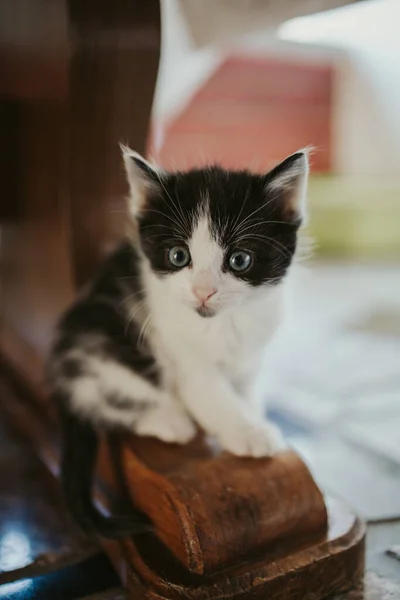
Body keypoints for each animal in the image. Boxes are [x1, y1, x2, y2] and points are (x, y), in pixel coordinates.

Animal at [47, 146, 310, 540]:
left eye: (240, 259)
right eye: (178, 256)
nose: (203, 291)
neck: (224, 326)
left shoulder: (252, 355)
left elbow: (245, 389)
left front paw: (252, 414)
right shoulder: (181, 354)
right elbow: (213, 396)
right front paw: (250, 432)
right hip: (105, 342)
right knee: (106, 397)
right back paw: (169, 420)